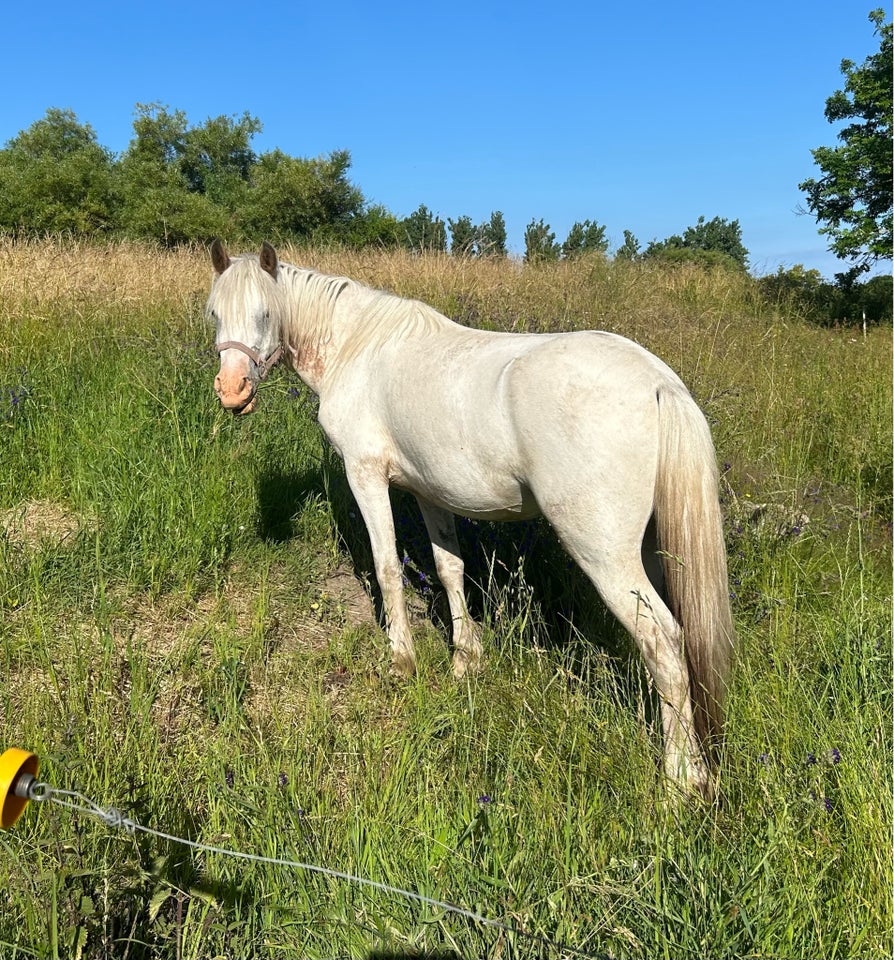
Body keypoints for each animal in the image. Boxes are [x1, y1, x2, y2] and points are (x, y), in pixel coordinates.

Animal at [208, 240, 736, 796]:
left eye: (266, 314)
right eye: (215, 314)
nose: (231, 390)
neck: (360, 348)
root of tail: (658, 382)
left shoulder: (366, 475)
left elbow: (387, 567)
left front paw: (401, 660)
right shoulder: (432, 491)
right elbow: (449, 570)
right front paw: (466, 660)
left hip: (606, 554)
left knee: (663, 641)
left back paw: (682, 780)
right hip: (653, 550)